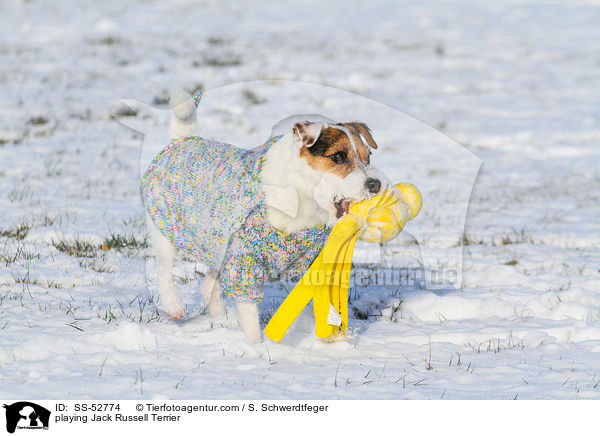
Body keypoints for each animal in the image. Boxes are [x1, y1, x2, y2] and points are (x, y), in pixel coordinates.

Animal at [141, 90, 386, 342]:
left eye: (368, 157)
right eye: (338, 156)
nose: (375, 184)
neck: (300, 200)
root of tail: (183, 140)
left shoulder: (311, 264)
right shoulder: (244, 262)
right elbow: (250, 317)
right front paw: (256, 346)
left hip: (220, 248)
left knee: (208, 284)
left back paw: (221, 317)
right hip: (165, 232)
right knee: (164, 271)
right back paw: (175, 307)